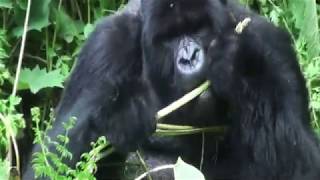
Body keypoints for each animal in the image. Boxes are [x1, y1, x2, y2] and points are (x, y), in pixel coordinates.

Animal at [23, 0, 320, 179]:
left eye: (199, 28)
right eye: (169, 38)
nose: (189, 57)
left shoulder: (270, 42)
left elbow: (305, 162)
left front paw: (239, 65)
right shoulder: (105, 46)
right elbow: (51, 161)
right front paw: (122, 112)